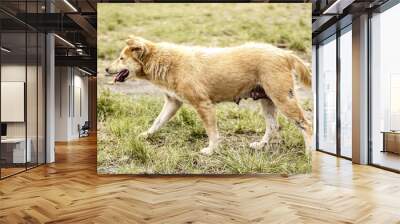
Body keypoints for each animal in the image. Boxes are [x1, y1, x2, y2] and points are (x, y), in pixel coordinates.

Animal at [104, 36, 310, 155]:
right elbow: (157, 122)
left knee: (306, 124)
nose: (105, 69)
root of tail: (284, 53)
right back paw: (260, 146)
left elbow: (212, 133)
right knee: (273, 126)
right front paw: (146, 135)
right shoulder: (173, 103)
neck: (164, 61)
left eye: (121, 58)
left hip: (283, 100)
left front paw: (211, 150)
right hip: (267, 101)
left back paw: (309, 154)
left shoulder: (204, 105)